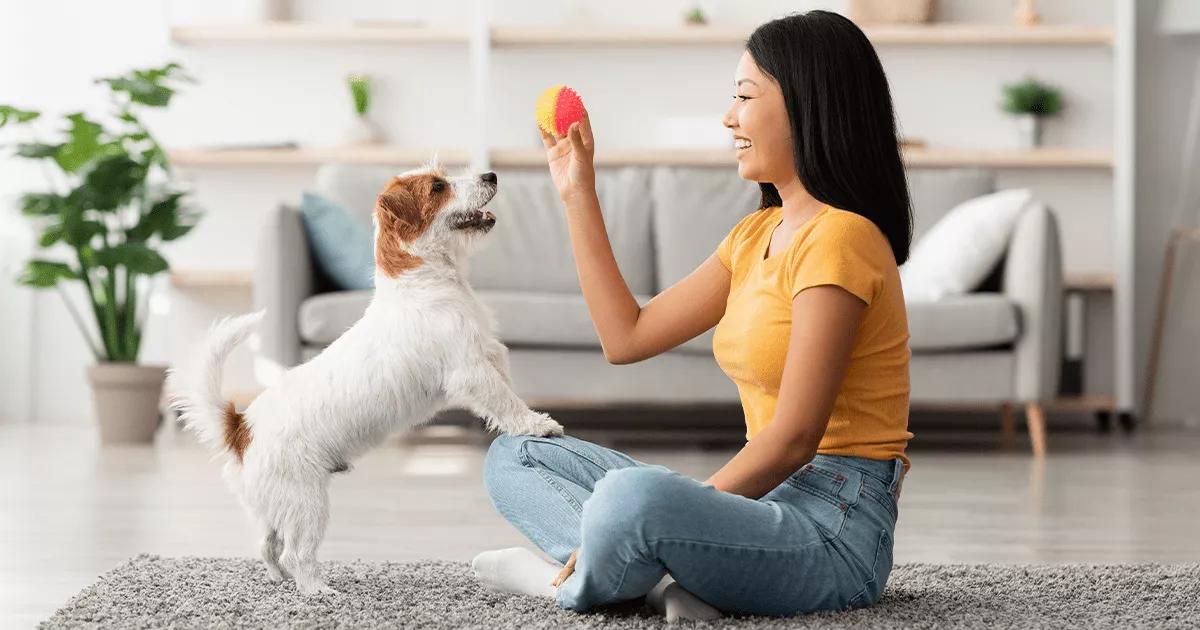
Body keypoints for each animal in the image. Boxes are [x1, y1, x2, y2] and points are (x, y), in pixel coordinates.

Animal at [166, 162, 564, 595]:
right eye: (438, 186)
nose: (491, 175)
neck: (421, 281)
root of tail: (240, 427)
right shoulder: (472, 371)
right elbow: (506, 401)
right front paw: (538, 424)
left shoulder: (491, 356)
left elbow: (508, 390)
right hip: (307, 503)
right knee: (295, 553)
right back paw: (317, 591)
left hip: (276, 506)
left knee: (267, 546)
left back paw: (280, 579)